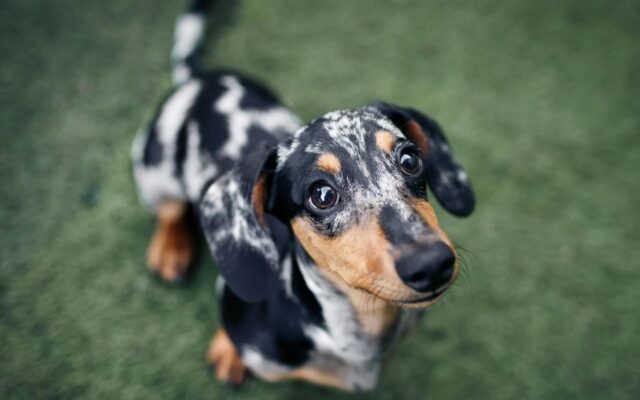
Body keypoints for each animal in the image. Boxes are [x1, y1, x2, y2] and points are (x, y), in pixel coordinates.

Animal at [131, 0, 476, 390]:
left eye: (410, 160)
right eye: (322, 194)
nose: (431, 265)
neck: (356, 338)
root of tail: (199, 80)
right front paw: (228, 350)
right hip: (155, 172)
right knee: (170, 210)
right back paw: (170, 249)